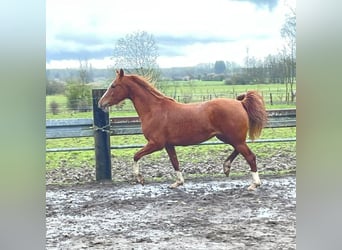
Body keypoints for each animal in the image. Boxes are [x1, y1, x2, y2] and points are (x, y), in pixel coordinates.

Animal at [97, 68, 268, 189]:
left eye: (113, 86)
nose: (100, 103)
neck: (154, 110)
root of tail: (240, 103)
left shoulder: (156, 144)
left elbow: (136, 156)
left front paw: (140, 179)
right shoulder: (168, 145)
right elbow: (175, 162)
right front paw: (178, 183)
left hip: (234, 138)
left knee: (250, 156)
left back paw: (254, 184)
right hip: (228, 137)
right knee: (239, 151)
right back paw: (226, 167)